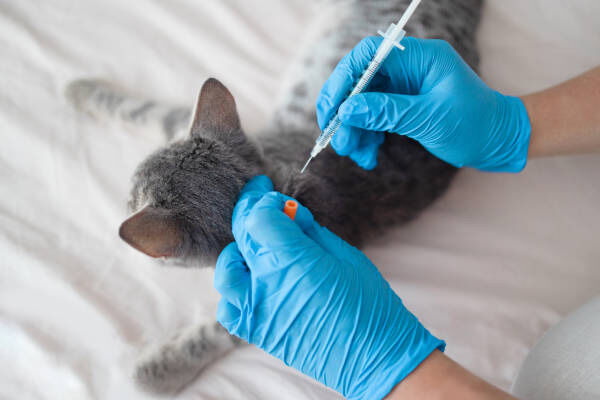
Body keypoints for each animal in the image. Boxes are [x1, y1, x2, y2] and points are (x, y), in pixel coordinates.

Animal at [67, 0, 482, 394]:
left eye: (130, 199)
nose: (125, 200)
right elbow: (142, 110)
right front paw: (83, 91)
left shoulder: (272, 303)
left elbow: (219, 332)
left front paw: (159, 369)